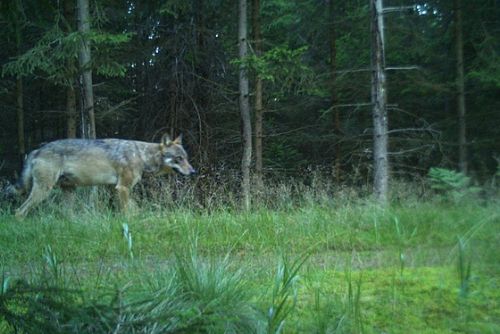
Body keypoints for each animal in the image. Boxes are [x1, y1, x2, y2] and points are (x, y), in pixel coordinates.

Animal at [8, 134, 195, 218]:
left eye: (186, 157)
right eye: (179, 158)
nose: (194, 172)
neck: (141, 156)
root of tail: (37, 150)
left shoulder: (115, 189)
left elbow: (134, 208)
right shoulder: (123, 188)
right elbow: (127, 213)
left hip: (68, 192)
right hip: (44, 190)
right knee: (18, 211)